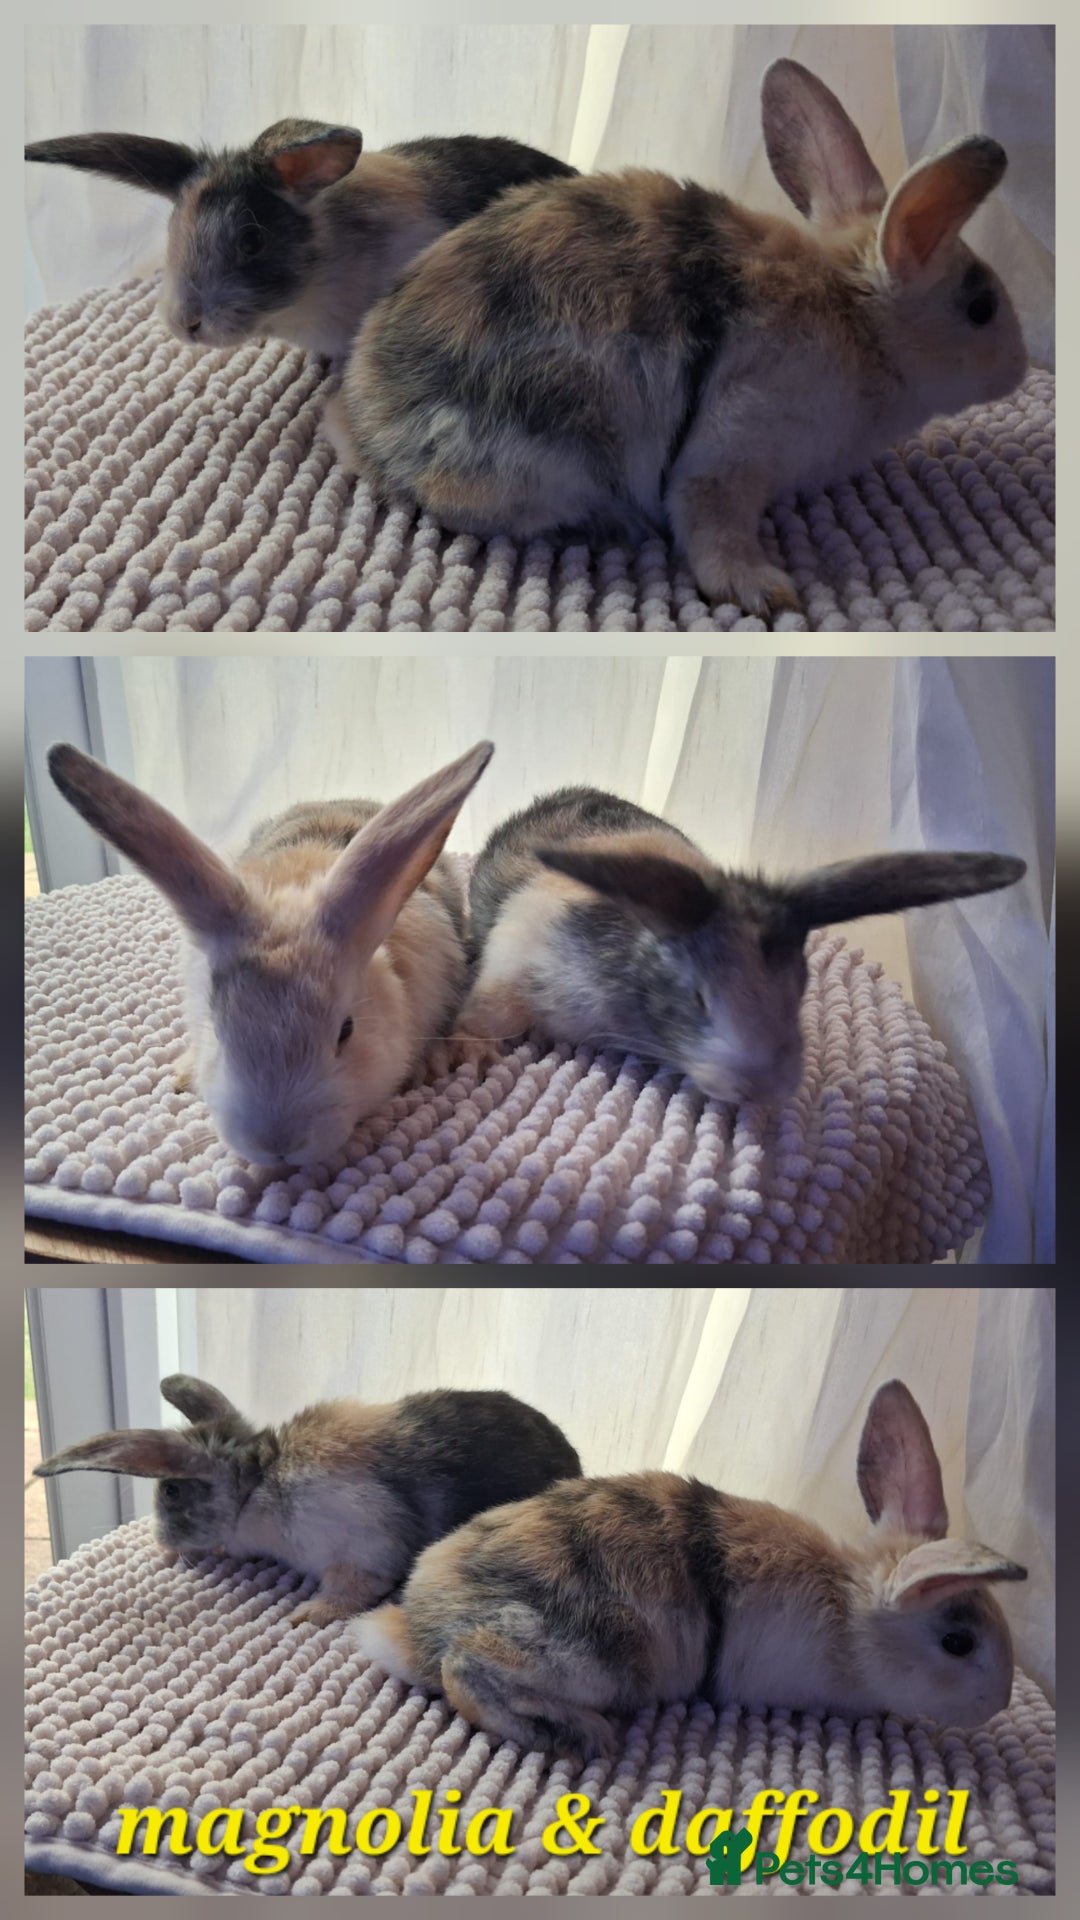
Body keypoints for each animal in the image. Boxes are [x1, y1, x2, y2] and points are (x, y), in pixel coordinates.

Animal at [34, 1375, 583, 1627]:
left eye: (170, 1490)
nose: (164, 1545)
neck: (256, 1485)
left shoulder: (361, 1544)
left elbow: (352, 1588)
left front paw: (306, 1614)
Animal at [338, 59, 1028, 613]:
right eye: (981, 307)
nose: (1022, 368)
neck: (861, 322)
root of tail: (366, 429)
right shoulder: (734, 444)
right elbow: (713, 522)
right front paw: (764, 591)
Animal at [352, 1379, 1027, 1755]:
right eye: (958, 1642)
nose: (998, 1703)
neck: (852, 1619)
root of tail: (415, 1630)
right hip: (595, 1653)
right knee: (465, 1669)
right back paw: (577, 1733)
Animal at [456, 786, 1026, 1107]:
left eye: (800, 988)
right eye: (698, 999)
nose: (767, 1091)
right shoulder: (512, 967)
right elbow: (487, 1015)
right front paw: (472, 1058)